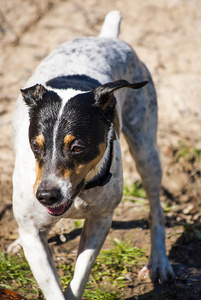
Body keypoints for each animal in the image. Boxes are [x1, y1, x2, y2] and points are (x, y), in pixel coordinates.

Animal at [9, 11, 174, 300]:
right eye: (36, 146)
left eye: (77, 147)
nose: (46, 195)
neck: (79, 193)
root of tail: (106, 37)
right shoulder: (34, 235)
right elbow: (53, 287)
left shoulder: (100, 220)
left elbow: (79, 278)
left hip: (146, 151)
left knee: (156, 209)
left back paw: (159, 262)